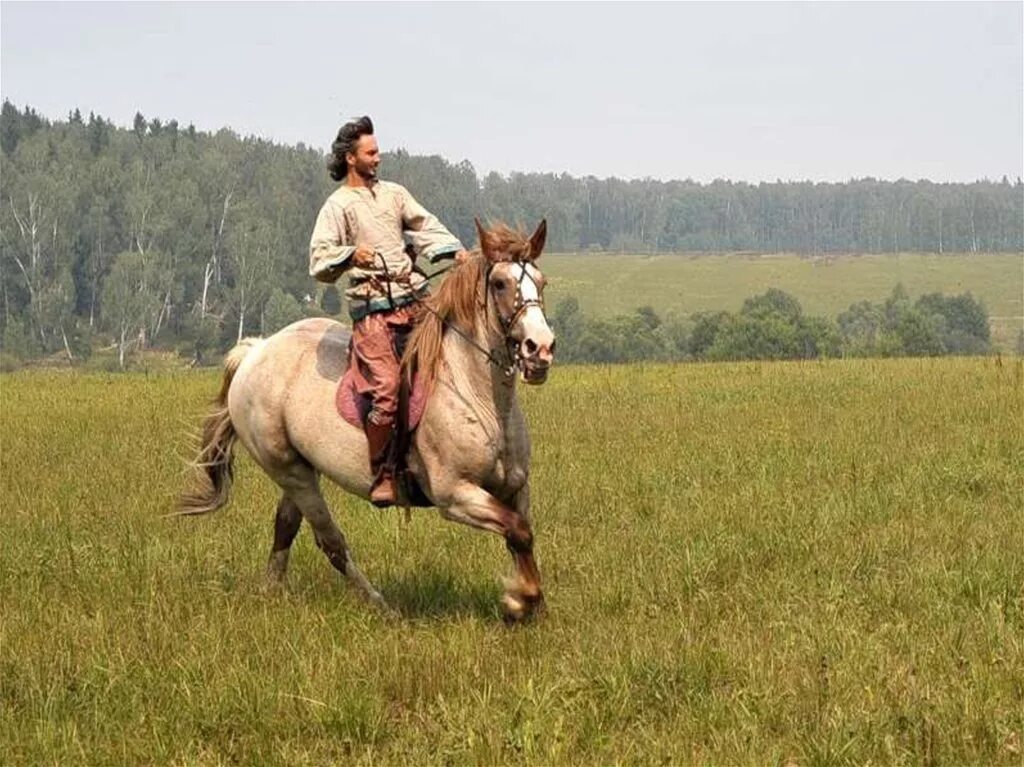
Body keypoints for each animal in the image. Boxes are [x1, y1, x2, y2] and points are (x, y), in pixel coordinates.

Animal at [180, 217, 557, 622]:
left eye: (541, 281)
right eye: (500, 283)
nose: (541, 348)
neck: (479, 398)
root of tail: (257, 350)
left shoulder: (515, 488)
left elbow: (521, 536)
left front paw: (529, 602)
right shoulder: (455, 495)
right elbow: (518, 531)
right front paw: (520, 601)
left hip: (301, 468)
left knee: (286, 525)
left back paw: (272, 592)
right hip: (287, 470)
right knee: (330, 541)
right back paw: (381, 605)